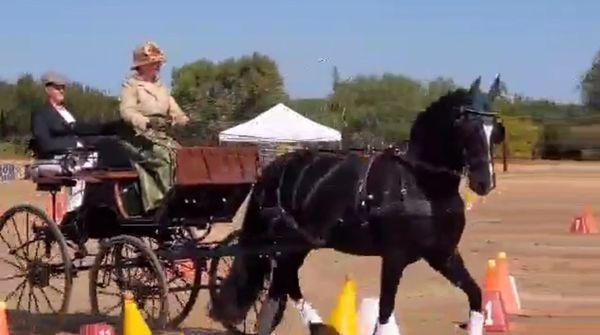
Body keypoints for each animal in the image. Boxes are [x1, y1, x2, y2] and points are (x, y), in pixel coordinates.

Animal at [211, 76, 506, 335]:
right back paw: (320, 326)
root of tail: (276, 166)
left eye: (495, 131)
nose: (485, 181)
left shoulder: (443, 254)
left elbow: (476, 296)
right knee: (286, 282)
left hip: (298, 244)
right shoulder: (394, 257)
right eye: (465, 126)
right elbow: (385, 312)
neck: (420, 183)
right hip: (286, 244)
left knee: (279, 289)